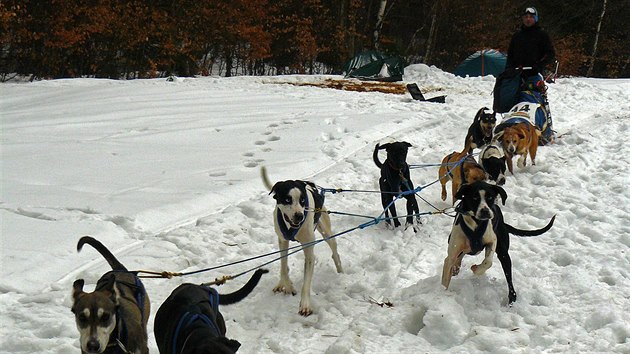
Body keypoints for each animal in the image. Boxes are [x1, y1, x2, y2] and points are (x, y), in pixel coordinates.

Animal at [260, 167, 344, 316]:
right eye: (287, 199)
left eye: (302, 200)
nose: (299, 216)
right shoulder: (282, 241)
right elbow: (283, 266)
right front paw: (286, 285)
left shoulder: (309, 251)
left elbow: (306, 282)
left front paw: (305, 305)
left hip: (326, 232)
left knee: (334, 250)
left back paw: (340, 270)